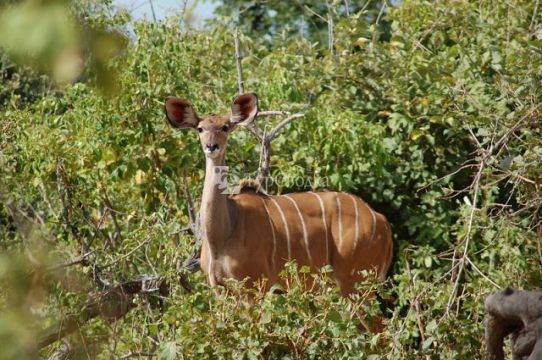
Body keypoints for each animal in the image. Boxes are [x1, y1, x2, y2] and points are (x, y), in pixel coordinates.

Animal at [166, 93, 396, 306]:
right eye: (200, 129)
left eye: (225, 127)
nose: (211, 146)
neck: (223, 233)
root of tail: (382, 220)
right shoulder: (220, 291)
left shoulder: (255, 288)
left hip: (354, 283)